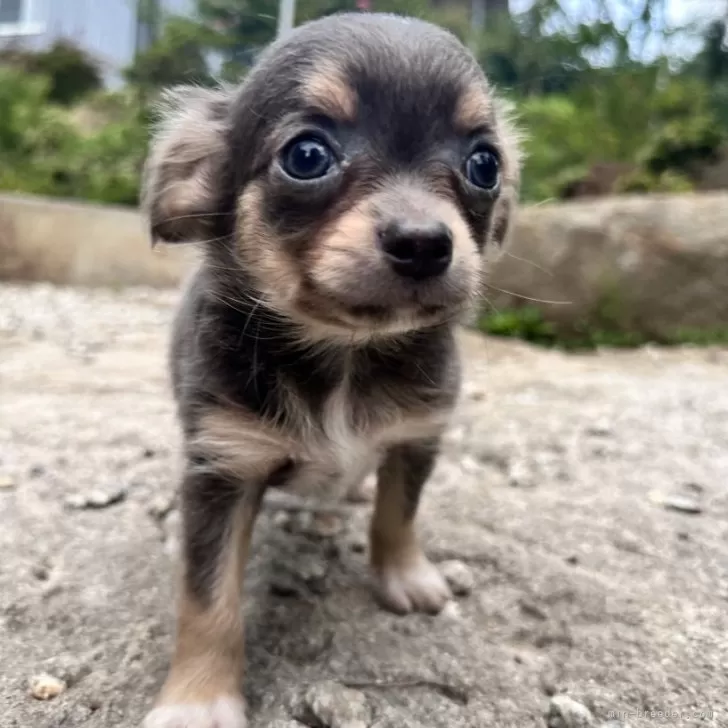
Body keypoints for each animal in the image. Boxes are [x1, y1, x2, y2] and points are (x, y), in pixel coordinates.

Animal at [141, 11, 516, 728]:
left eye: (485, 164)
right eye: (307, 156)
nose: (424, 243)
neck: (345, 352)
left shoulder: (416, 437)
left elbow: (399, 513)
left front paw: (405, 575)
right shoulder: (222, 468)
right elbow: (207, 600)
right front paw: (199, 700)